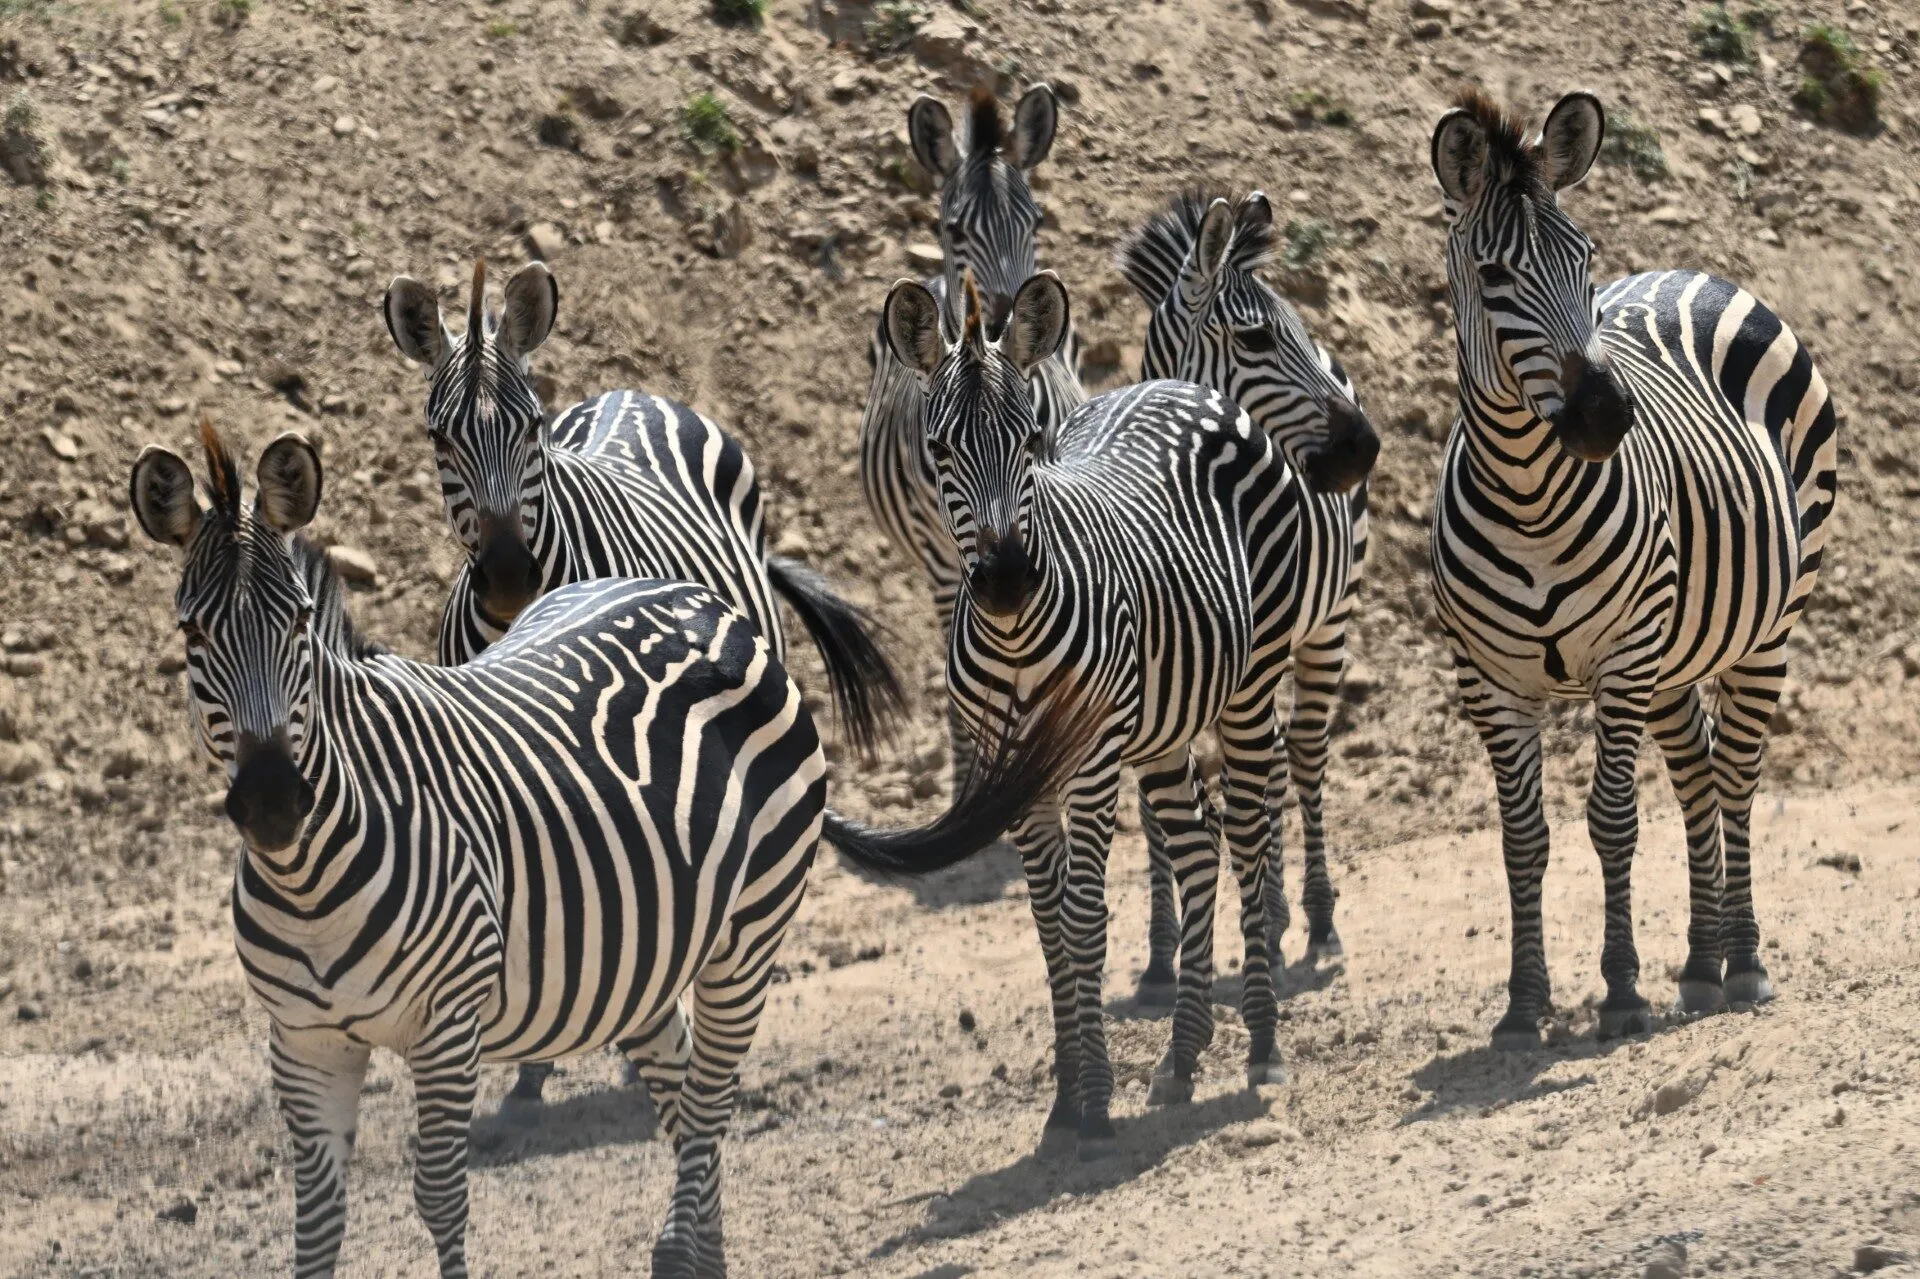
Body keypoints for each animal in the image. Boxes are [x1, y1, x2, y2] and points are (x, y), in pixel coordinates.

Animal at [128, 423, 1090, 1279]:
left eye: (295, 624)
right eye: (190, 635)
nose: (272, 803)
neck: (312, 876)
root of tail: (703, 603)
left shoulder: (446, 1024)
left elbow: (440, 1195)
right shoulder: (303, 1040)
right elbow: (316, 1221)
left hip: (748, 931)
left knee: (710, 1100)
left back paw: (676, 1252)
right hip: (644, 949)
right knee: (682, 1091)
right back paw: (704, 1255)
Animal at [883, 270, 1362, 1156]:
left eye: (1033, 440)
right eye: (939, 452)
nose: (1007, 579)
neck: (1014, 636)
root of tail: (1188, 385)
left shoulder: (1094, 760)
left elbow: (1083, 917)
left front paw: (1094, 1099)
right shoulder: (1015, 776)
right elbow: (1047, 925)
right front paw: (1063, 1098)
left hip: (1252, 680)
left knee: (1248, 833)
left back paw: (1263, 1041)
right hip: (1166, 718)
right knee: (1201, 845)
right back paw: (1182, 1053)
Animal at [1117, 188, 1379, 968]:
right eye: (1257, 340)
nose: (1366, 447)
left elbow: (1248, 794)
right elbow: (1161, 808)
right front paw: (1164, 950)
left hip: (1326, 623)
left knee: (1303, 750)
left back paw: (1314, 916)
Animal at [1426, 91, 1838, 1048]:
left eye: (1584, 260)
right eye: (1493, 276)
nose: (1607, 416)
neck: (1529, 497)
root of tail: (1692, 272)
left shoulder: (1622, 654)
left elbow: (1611, 819)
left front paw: (1619, 991)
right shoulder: (1488, 678)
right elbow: (1523, 839)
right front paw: (1524, 1004)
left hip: (1762, 627)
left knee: (1736, 775)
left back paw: (1744, 960)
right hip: (1674, 656)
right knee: (1695, 777)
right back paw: (1699, 964)